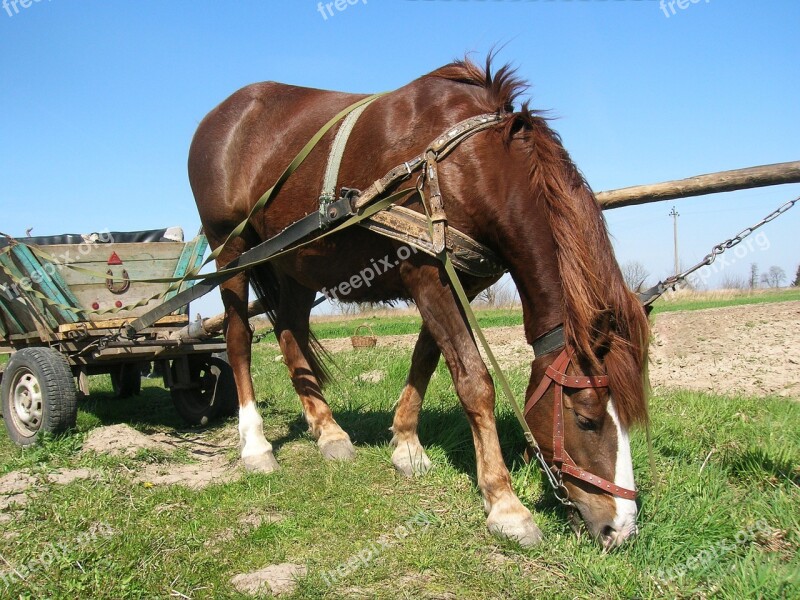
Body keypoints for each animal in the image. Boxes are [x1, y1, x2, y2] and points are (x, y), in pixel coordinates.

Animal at [189, 56, 648, 548]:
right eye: (585, 419)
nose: (621, 528)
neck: (463, 165)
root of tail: (222, 115)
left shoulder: (459, 280)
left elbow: (426, 358)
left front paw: (407, 444)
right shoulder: (427, 276)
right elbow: (474, 382)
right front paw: (505, 504)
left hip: (293, 262)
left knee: (290, 330)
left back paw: (327, 430)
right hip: (230, 252)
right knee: (239, 337)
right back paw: (255, 444)